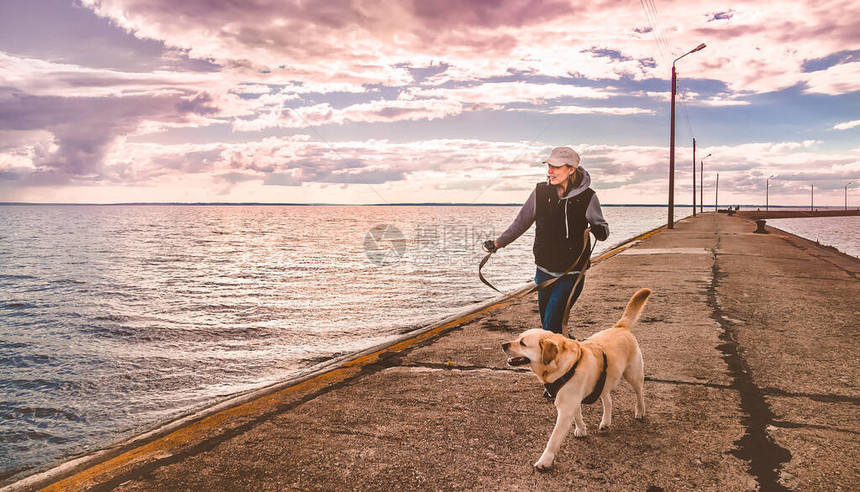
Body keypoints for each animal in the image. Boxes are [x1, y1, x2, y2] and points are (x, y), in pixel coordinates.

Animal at [500, 288, 648, 468]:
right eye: (518, 338)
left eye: (522, 343)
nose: (503, 345)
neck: (561, 366)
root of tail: (620, 327)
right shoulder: (571, 400)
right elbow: (577, 415)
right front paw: (581, 429)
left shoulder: (565, 408)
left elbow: (553, 438)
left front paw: (545, 460)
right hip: (604, 380)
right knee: (608, 400)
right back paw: (606, 421)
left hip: (633, 374)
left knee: (639, 392)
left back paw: (640, 411)